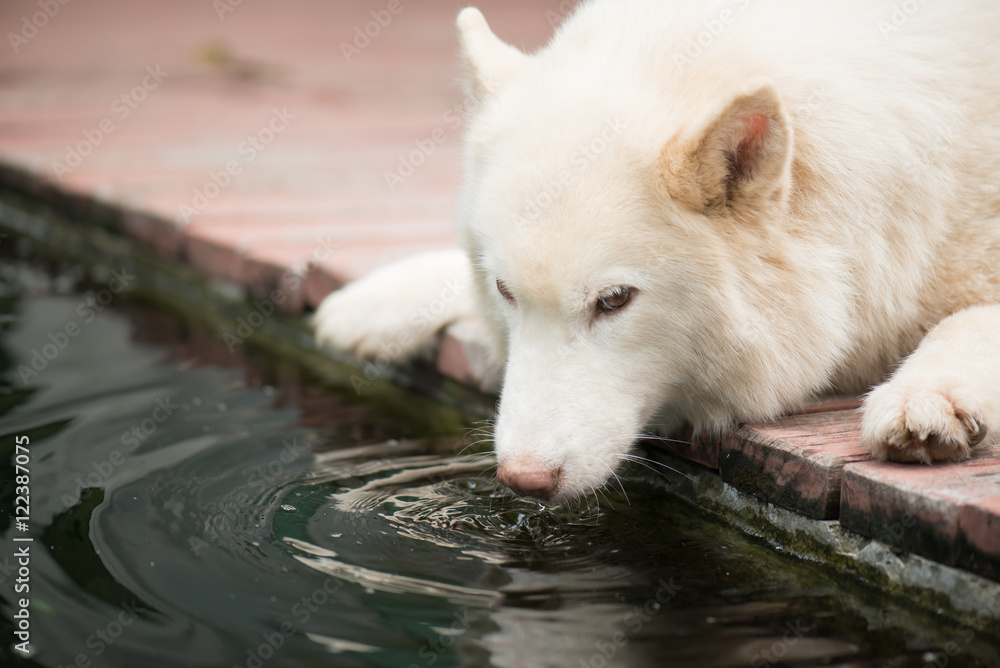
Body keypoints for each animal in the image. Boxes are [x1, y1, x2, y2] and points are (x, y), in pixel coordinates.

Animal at [314, 0, 1000, 500]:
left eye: (615, 300)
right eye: (505, 292)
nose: (523, 481)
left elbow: (971, 320)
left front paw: (927, 395)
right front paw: (375, 303)